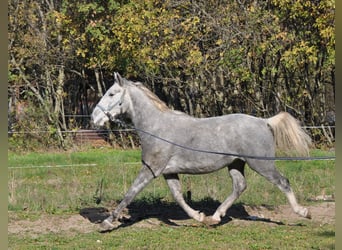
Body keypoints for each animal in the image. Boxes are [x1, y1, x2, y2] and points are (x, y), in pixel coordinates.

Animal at [91, 73, 312, 232]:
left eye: (111, 94)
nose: (94, 118)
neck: (156, 128)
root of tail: (264, 121)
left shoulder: (151, 169)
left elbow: (131, 193)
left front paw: (107, 223)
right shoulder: (168, 172)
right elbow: (178, 197)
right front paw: (199, 216)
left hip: (262, 164)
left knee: (283, 182)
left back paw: (303, 212)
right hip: (236, 164)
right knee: (239, 186)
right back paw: (215, 217)